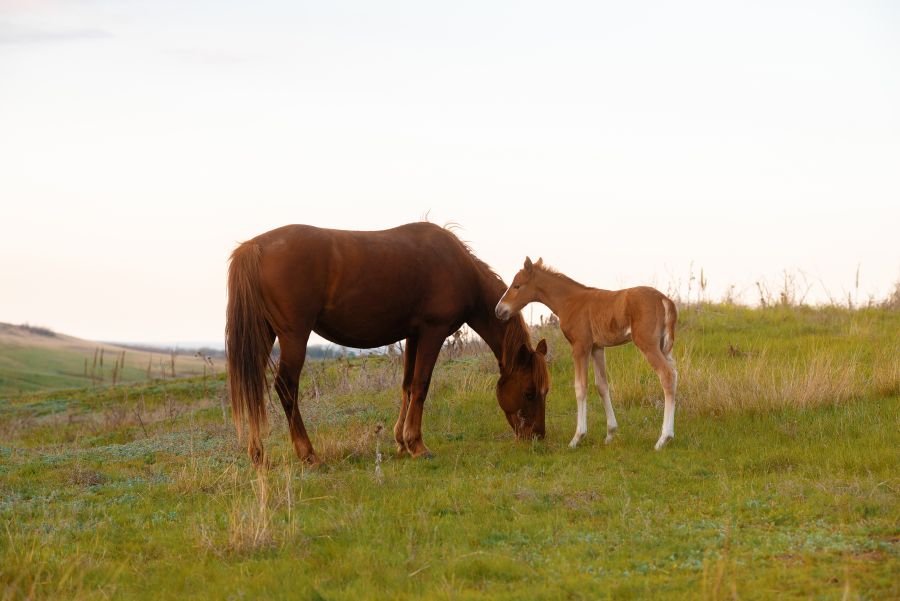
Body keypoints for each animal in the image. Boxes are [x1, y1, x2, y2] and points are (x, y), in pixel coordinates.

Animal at [227, 220, 548, 464]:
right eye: (530, 392)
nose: (537, 436)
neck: (459, 267)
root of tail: (255, 246)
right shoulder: (433, 333)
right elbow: (421, 385)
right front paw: (417, 444)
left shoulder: (414, 335)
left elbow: (407, 386)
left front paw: (401, 441)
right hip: (294, 336)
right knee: (286, 387)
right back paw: (308, 454)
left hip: (264, 334)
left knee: (252, 386)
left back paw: (257, 455)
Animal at [496, 258, 680, 450]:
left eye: (517, 286)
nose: (499, 310)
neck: (570, 301)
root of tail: (664, 299)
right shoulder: (597, 347)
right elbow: (602, 386)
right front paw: (610, 434)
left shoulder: (580, 346)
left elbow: (581, 387)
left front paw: (577, 437)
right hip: (664, 347)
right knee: (674, 374)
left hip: (647, 344)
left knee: (667, 375)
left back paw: (663, 439)